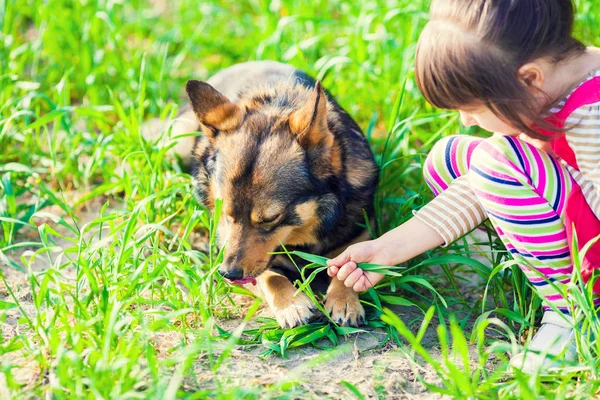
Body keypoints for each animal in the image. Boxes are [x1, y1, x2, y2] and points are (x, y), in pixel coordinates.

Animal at [166, 61, 378, 328]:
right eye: (227, 215)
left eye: (270, 219)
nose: (227, 274)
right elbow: (270, 277)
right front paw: (291, 305)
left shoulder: (361, 232)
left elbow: (351, 263)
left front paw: (344, 300)